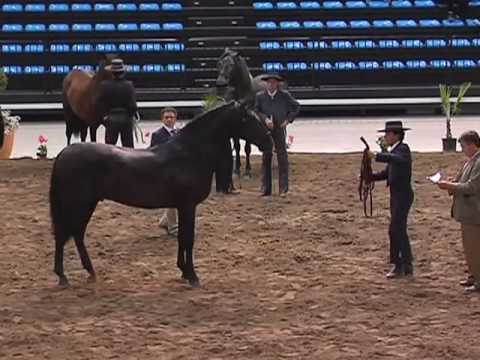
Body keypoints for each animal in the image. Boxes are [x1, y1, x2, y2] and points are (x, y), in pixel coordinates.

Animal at [51, 100, 274, 288]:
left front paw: (183, 272)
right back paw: (64, 277)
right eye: (250, 119)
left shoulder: (182, 206)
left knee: (75, 235)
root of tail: (64, 154)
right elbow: (188, 239)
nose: (269, 142)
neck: (190, 153)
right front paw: (193, 277)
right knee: (65, 235)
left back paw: (88, 272)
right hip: (78, 204)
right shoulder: (187, 206)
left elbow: (182, 238)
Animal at [215, 47, 284, 177]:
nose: (220, 83)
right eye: (219, 63)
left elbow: (247, 148)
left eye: (231, 65)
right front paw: (236, 170)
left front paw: (247, 171)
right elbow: (237, 146)